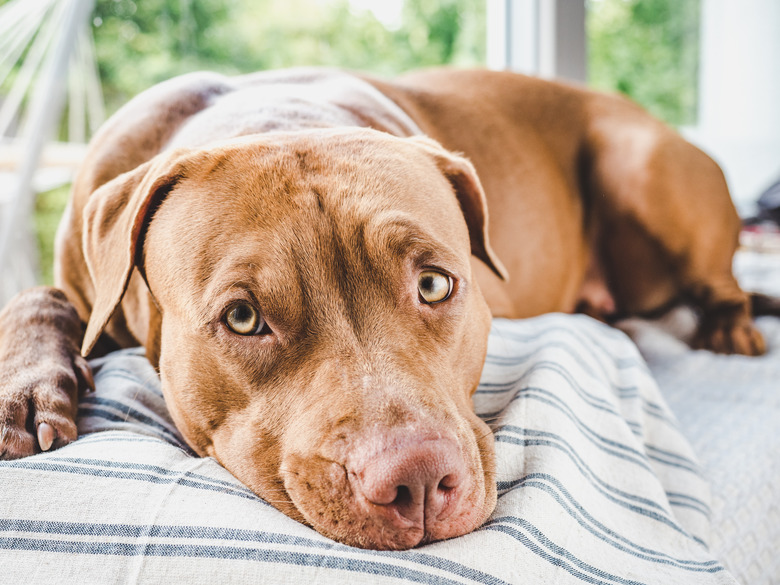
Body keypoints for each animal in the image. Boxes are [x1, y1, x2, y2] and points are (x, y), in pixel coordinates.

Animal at [0, 67, 768, 548]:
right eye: (243, 318)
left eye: (435, 285)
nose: (418, 479)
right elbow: (37, 296)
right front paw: (26, 391)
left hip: (641, 164)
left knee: (722, 282)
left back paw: (732, 329)